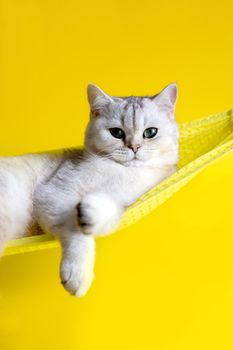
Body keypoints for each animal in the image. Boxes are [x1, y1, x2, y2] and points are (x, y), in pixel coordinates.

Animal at [0, 83, 179, 296]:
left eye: (150, 132)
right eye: (116, 133)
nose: (134, 147)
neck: (123, 172)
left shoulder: (133, 197)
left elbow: (109, 212)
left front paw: (92, 212)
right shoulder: (55, 193)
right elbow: (76, 232)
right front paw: (77, 275)